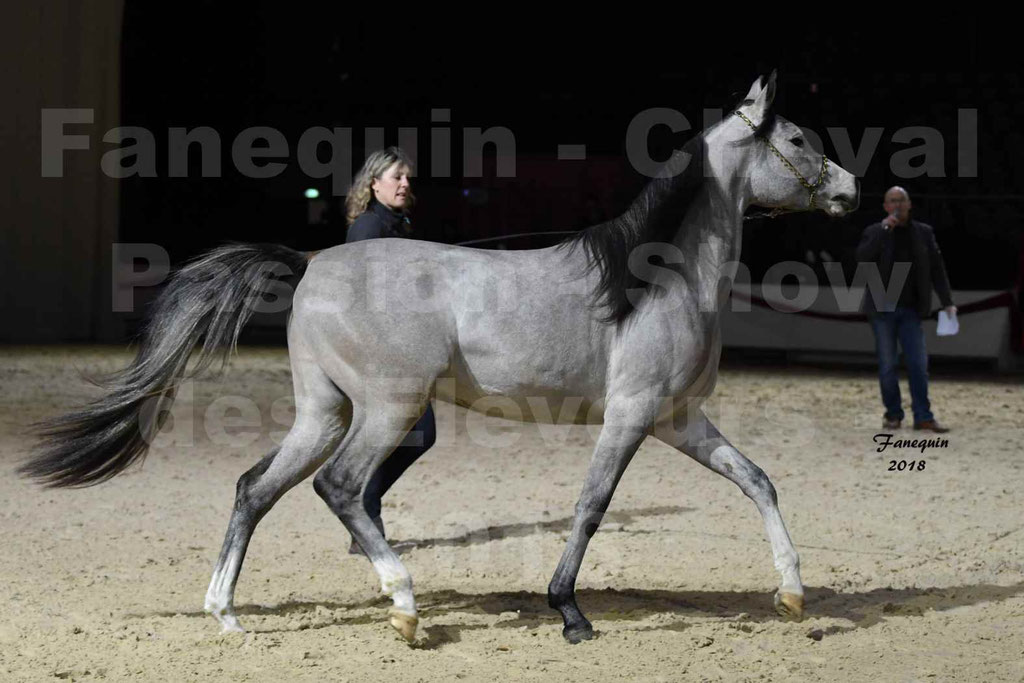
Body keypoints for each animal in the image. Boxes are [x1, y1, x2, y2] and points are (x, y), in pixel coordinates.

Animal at [21, 72, 859, 644]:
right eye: (796, 141)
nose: (852, 189)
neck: (655, 279)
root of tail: (310, 263)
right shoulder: (630, 415)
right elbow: (591, 505)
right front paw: (569, 611)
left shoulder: (679, 419)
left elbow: (758, 480)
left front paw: (792, 594)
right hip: (385, 410)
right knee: (340, 487)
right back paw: (403, 603)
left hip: (325, 410)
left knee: (256, 486)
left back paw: (226, 611)